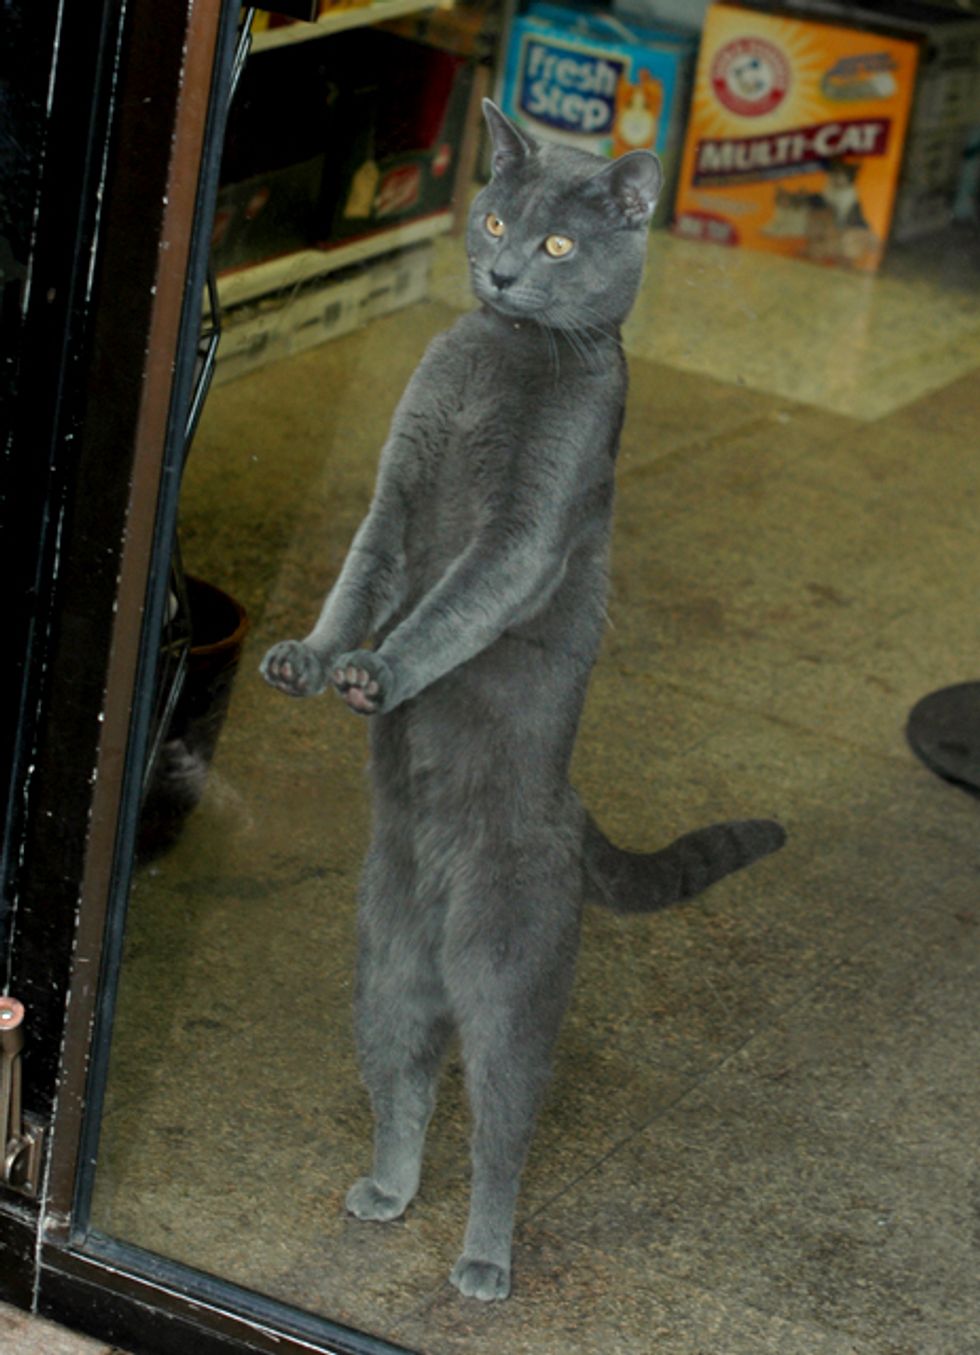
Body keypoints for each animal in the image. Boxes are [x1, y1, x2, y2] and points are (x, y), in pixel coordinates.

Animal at [260, 100, 780, 1295]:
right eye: (494, 218)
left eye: (556, 245)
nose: (499, 272)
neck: (497, 355)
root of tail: (570, 809)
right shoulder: (395, 487)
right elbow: (358, 577)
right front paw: (310, 659)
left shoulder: (523, 531)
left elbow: (450, 608)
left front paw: (378, 673)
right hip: (383, 966)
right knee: (407, 1082)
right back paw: (388, 1192)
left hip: (510, 976)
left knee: (502, 1125)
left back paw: (482, 1261)